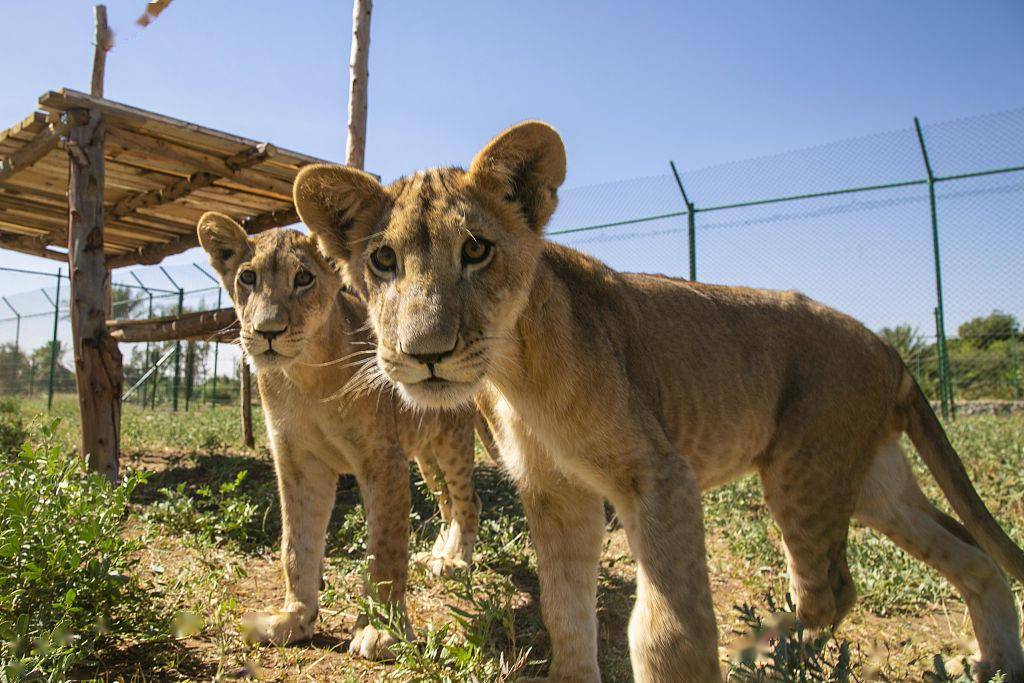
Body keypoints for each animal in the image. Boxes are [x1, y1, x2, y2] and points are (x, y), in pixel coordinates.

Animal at [196, 216, 483, 659]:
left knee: (469, 502)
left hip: (451, 443)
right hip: (425, 456)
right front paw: (293, 618)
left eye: (304, 278)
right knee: (448, 504)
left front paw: (383, 630)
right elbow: (296, 544)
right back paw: (438, 554)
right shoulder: (297, 462)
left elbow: (385, 549)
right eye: (247, 277)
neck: (308, 375)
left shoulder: (382, 460)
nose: (267, 331)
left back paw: (456, 563)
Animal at [292, 124, 1024, 683]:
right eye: (383, 260)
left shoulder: (660, 473)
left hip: (804, 472)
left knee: (832, 590)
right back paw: (992, 661)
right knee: (972, 555)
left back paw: (757, 652)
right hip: (870, 483)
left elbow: (667, 628)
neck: (513, 373)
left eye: (476, 249)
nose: (425, 352)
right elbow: (565, 608)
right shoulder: (557, 492)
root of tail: (888, 348)